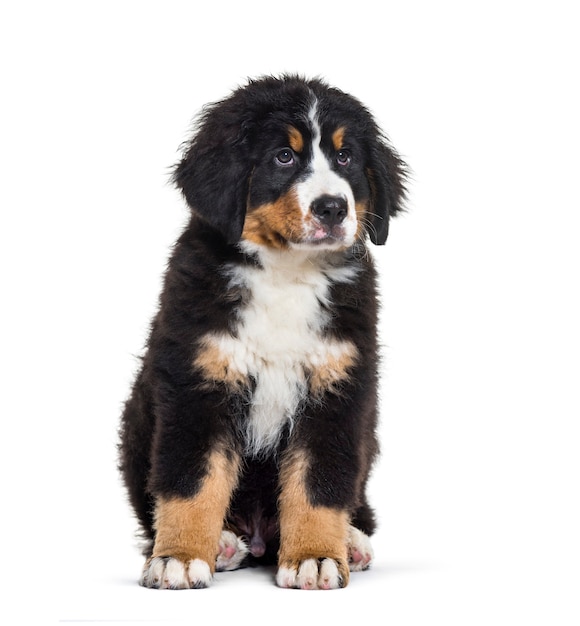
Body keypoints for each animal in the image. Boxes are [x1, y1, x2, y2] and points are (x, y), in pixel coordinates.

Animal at [119, 75, 406, 588]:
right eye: (284, 157)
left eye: (346, 157)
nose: (332, 208)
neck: (286, 274)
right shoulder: (197, 384)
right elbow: (192, 482)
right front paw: (178, 557)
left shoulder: (337, 390)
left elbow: (319, 485)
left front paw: (316, 555)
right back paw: (223, 544)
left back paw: (350, 542)